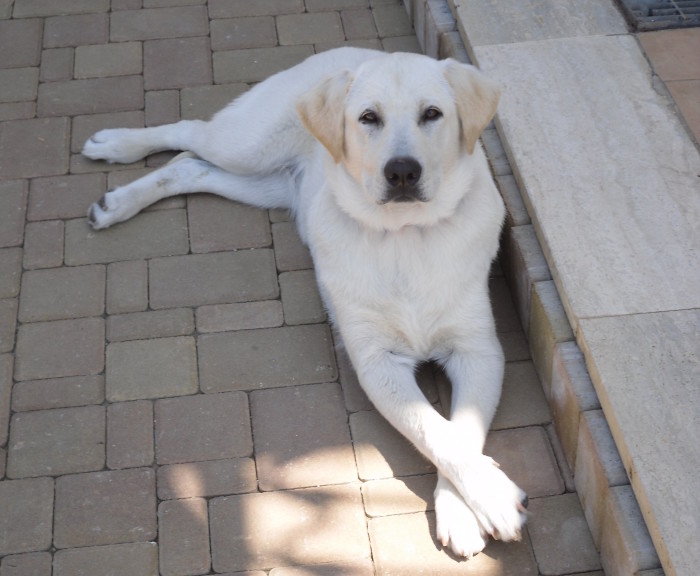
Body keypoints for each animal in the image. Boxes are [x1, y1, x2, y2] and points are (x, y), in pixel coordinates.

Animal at [83, 46, 524, 560]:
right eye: (368, 117)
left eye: (432, 114)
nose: (402, 171)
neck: (405, 237)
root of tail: (353, 50)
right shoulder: (376, 363)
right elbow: (435, 433)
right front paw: (494, 500)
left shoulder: (478, 352)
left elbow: (461, 431)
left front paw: (462, 509)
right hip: (249, 146)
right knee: (190, 132)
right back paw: (116, 147)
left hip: (264, 183)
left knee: (191, 166)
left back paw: (118, 200)